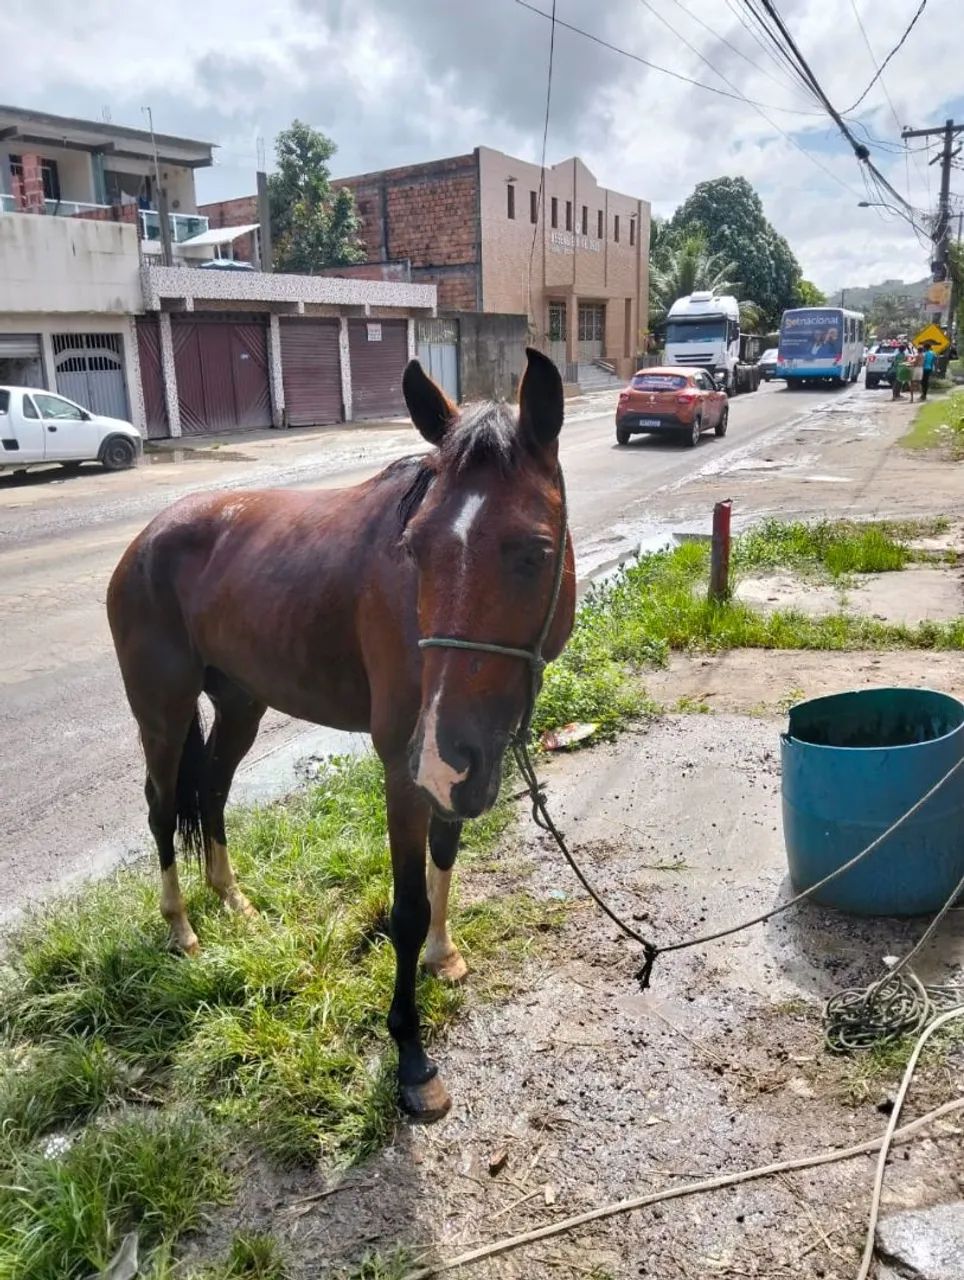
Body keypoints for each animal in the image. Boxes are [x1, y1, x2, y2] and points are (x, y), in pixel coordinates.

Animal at [107, 347, 575, 1120]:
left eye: (535, 552)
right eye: (413, 548)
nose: (444, 758)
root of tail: (147, 537)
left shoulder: (455, 761)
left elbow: (446, 858)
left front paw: (444, 954)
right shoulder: (408, 768)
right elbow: (407, 906)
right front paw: (411, 1056)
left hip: (241, 706)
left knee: (213, 793)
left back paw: (233, 901)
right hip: (163, 714)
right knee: (160, 808)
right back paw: (182, 927)